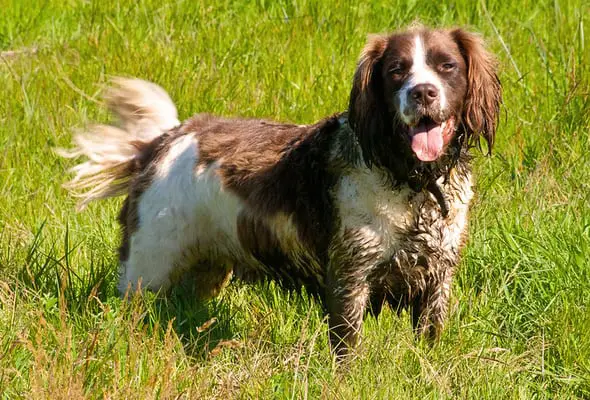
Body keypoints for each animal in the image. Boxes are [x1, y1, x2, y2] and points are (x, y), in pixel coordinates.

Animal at [61, 26, 504, 356]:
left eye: (447, 66)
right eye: (396, 70)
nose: (422, 92)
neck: (413, 183)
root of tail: (165, 138)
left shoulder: (438, 276)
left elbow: (429, 338)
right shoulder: (350, 272)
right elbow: (347, 345)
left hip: (204, 271)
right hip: (146, 268)